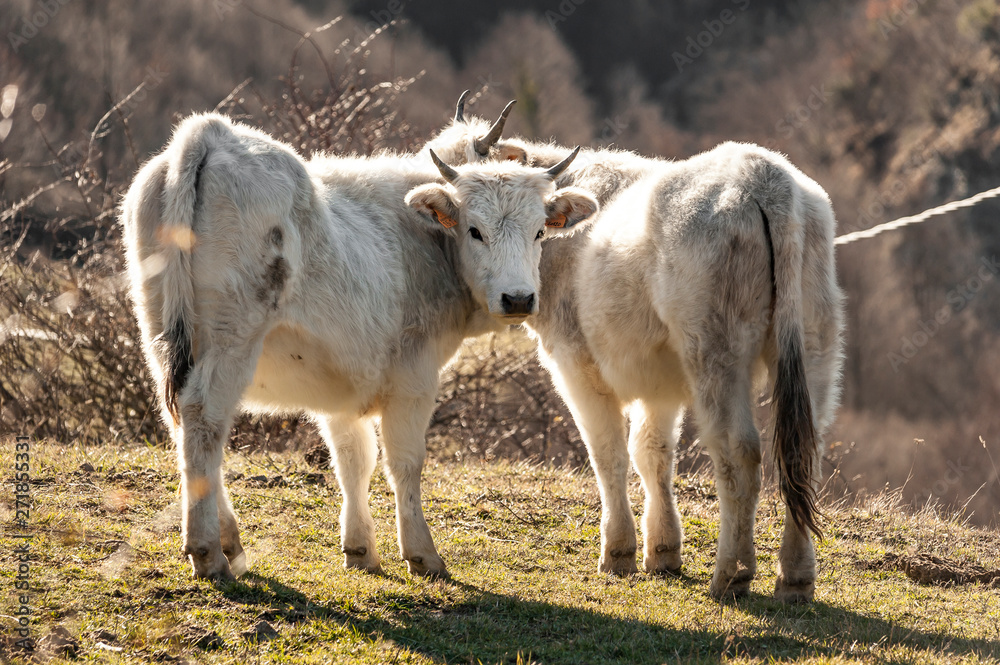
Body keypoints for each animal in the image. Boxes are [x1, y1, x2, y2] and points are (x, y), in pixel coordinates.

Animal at [118, 111, 597, 581]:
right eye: (475, 231)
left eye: (540, 231)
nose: (518, 298)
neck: (423, 242)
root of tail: (211, 134)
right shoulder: (414, 376)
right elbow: (404, 461)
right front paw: (421, 553)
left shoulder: (339, 378)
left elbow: (352, 459)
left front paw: (359, 548)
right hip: (231, 337)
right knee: (204, 419)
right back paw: (208, 552)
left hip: (162, 334)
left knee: (183, 423)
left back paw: (229, 542)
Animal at [430, 101, 845, 602]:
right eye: (471, 226)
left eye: (536, 231)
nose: (516, 299)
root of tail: (762, 173)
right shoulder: (660, 380)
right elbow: (652, 451)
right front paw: (663, 551)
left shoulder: (576, 365)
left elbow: (608, 451)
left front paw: (619, 552)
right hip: (816, 345)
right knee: (804, 451)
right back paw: (796, 578)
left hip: (716, 354)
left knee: (740, 452)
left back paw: (731, 573)